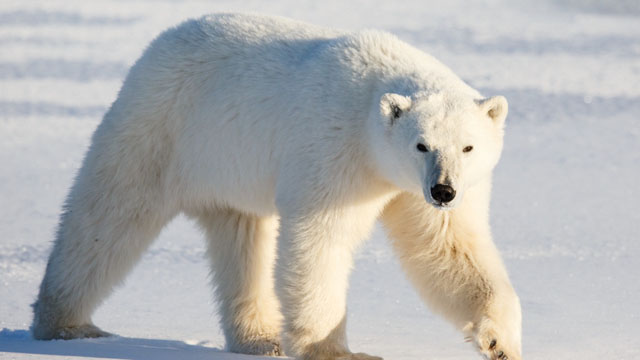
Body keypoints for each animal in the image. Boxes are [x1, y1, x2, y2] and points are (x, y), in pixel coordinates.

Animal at [31, 12, 520, 360]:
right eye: (421, 144)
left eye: (468, 146)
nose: (443, 191)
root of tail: (161, 41)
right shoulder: (335, 150)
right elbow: (319, 242)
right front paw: (337, 351)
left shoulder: (414, 187)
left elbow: (450, 250)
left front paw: (500, 342)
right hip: (160, 126)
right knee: (108, 216)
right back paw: (66, 324)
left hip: (229, 171)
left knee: (242, 240)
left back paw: (260, 338)